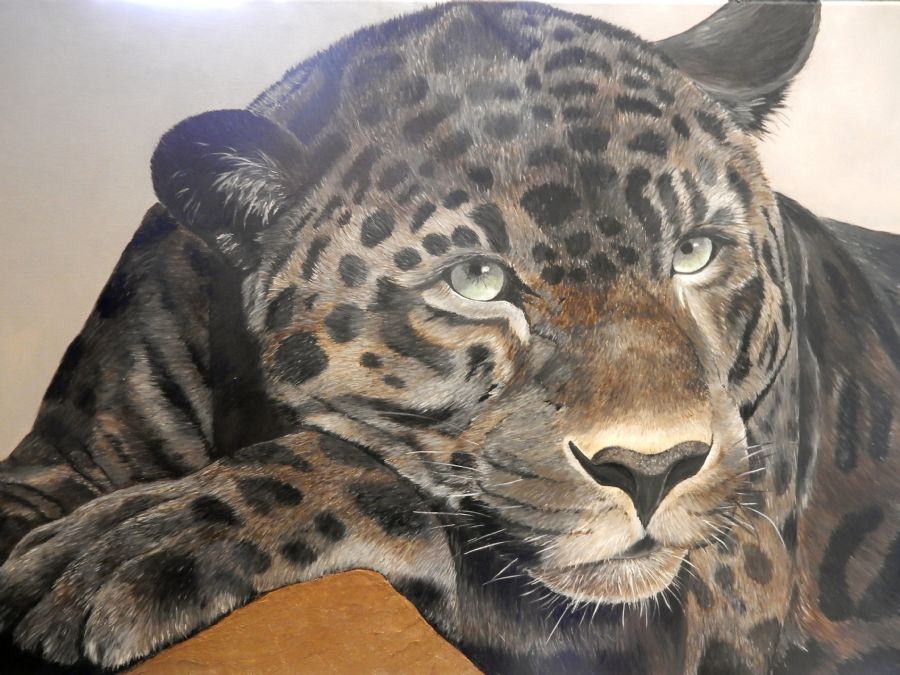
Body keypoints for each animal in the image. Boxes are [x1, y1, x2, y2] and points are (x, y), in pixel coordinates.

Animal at [1, 2, 898, 673]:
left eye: (694, 251)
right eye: (475, 280)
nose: (654, 469)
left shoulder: (712, 580)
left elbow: (384, 477)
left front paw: (118, 546)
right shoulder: (52, 463)